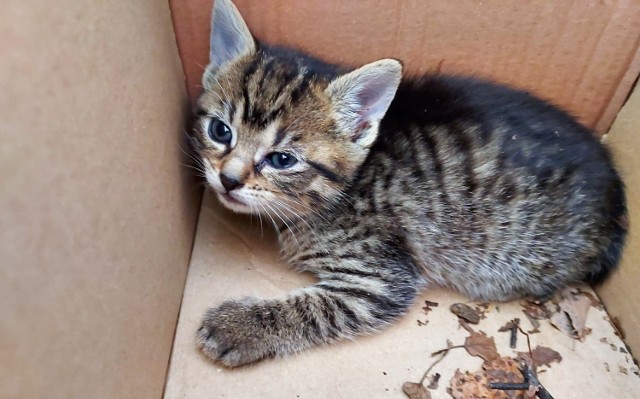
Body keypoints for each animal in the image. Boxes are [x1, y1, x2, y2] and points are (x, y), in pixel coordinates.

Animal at [188, 0, 628, 368]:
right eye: (220, 131)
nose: (228, 179)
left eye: (282, 160)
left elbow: (318, 308)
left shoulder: (382, 277)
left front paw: (238, 327)